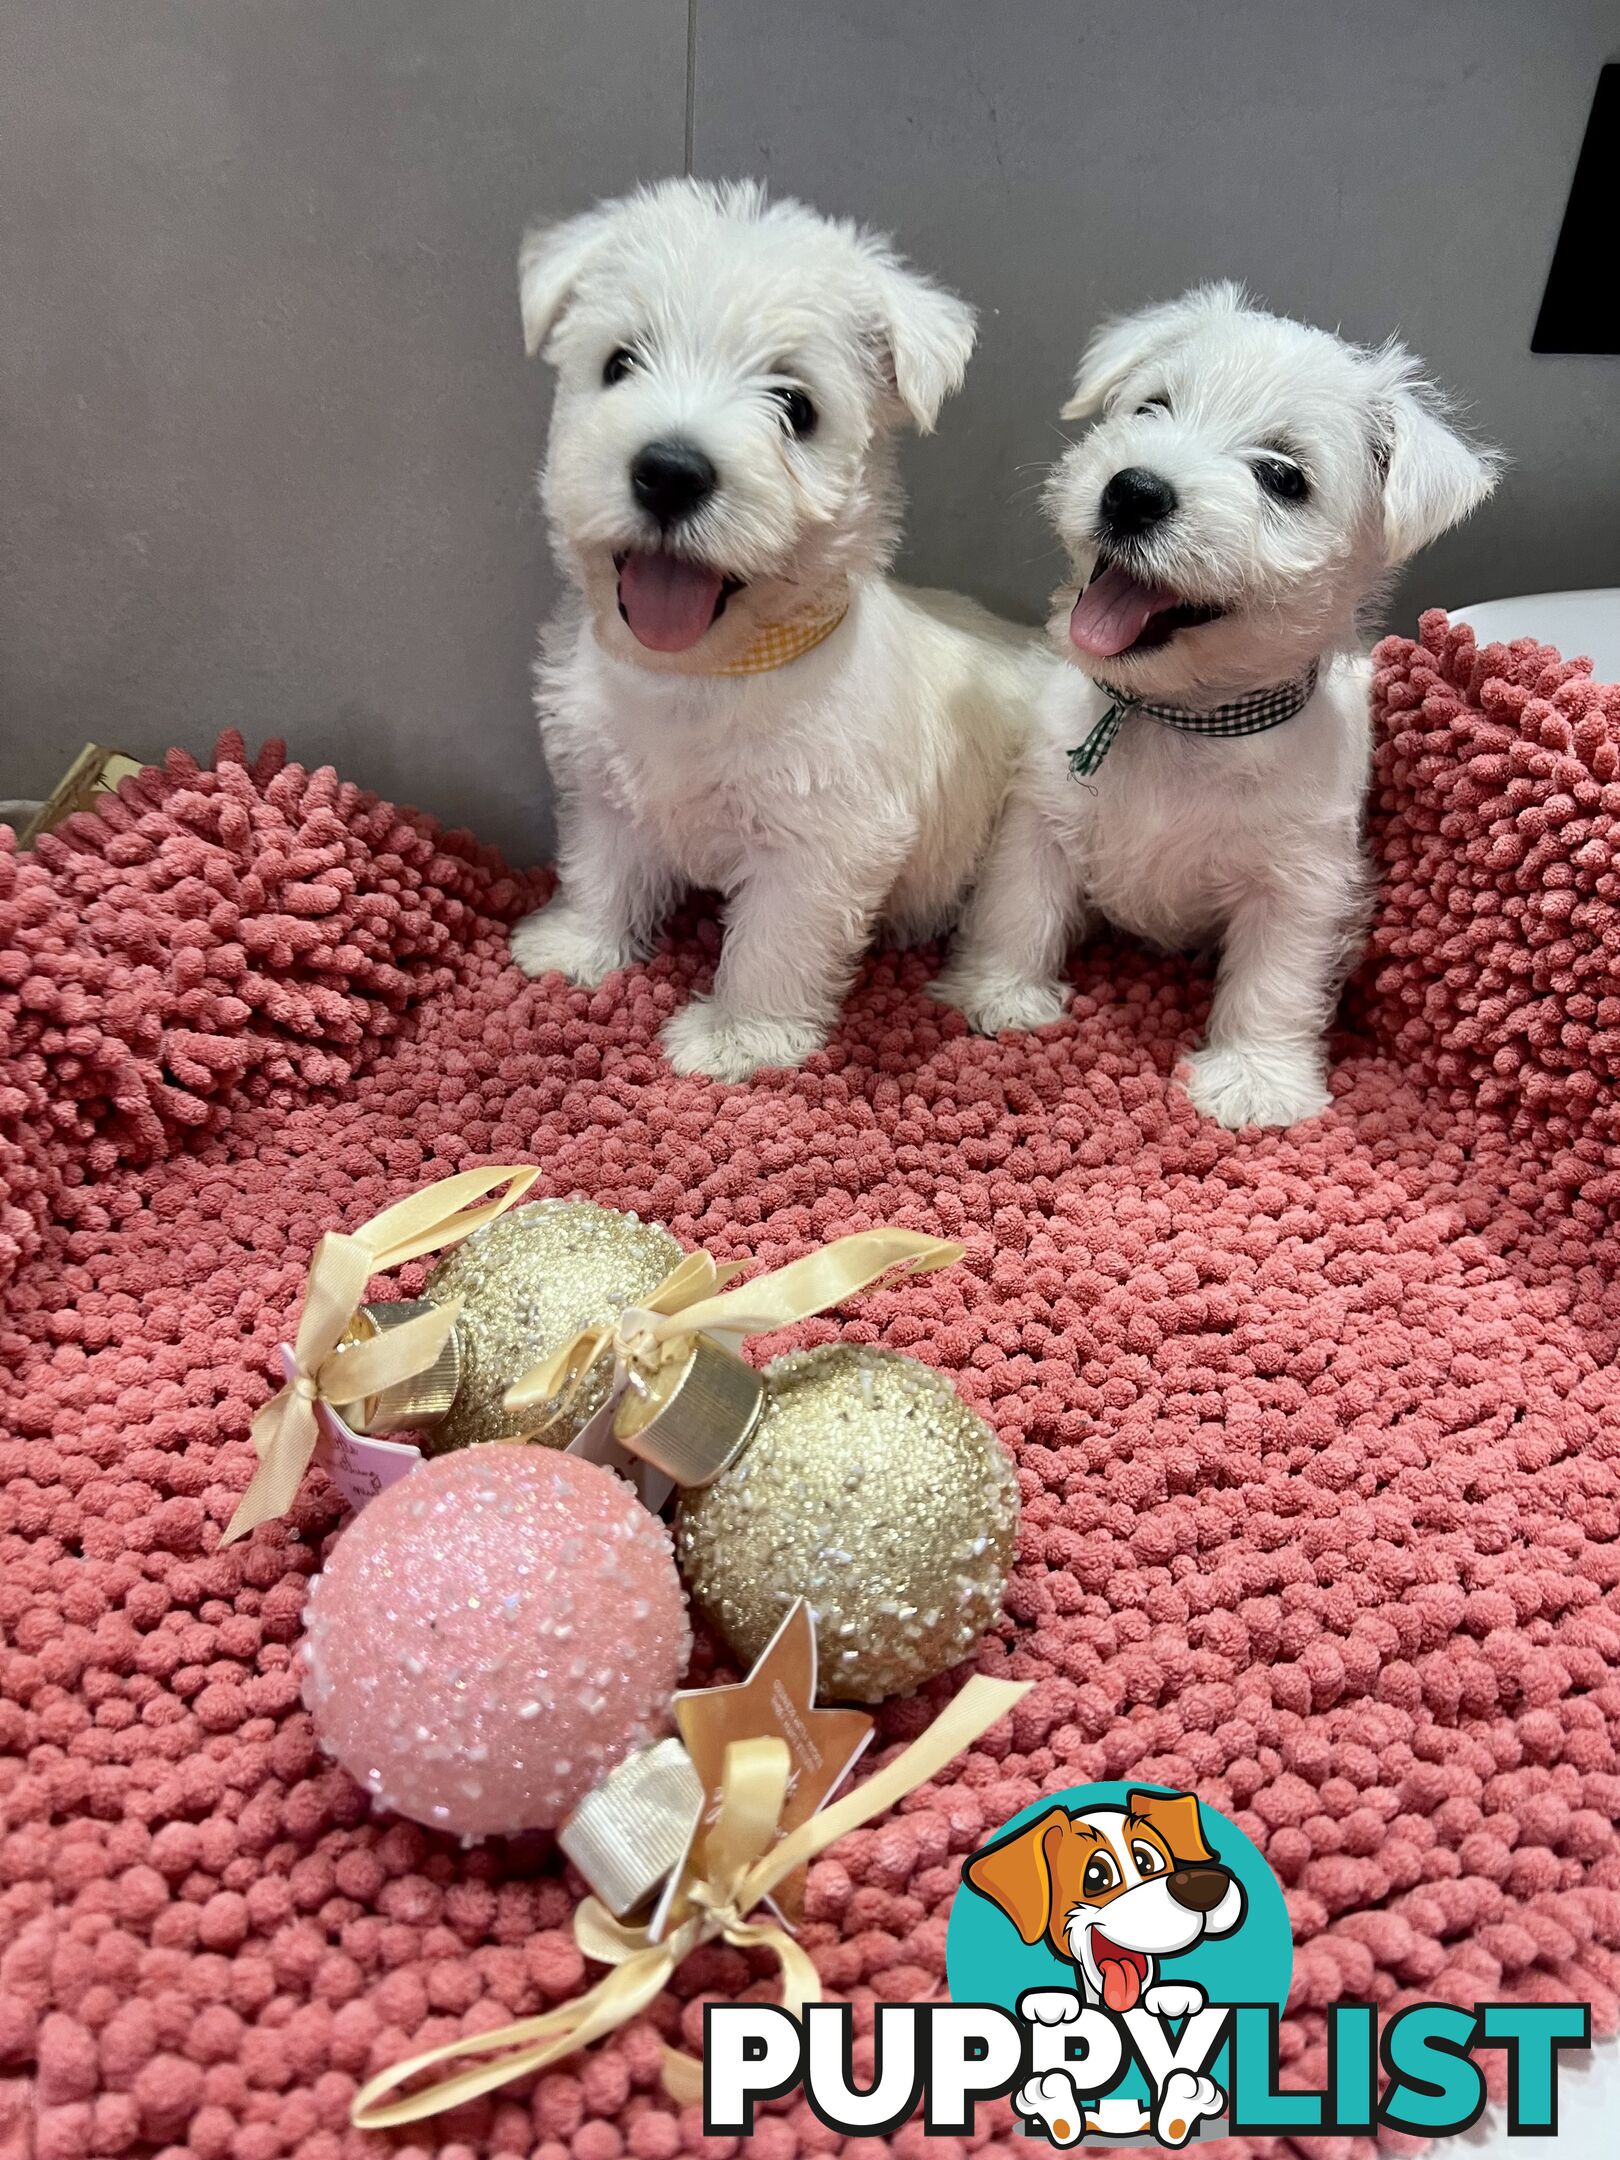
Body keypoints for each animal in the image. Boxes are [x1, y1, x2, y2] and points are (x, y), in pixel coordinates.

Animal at [509, 174, 1054, 1080]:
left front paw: (738, 1036)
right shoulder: (602, 785)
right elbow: (600, 870)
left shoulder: (820, 844)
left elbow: (773, 942)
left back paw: (998, 996)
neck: (706, 671)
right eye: (619, 362)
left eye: (796, 407)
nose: (669, 472)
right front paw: (573, 948)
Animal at [937, 285, 1512, 1131]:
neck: (1177, 716)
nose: (1133, 491)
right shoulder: (1040, 813)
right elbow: (1020, 905)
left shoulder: (1299, 881)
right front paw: (999, 996)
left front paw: (1255, 1082)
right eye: (1152, 406)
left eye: (1283, 477)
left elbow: (1275, 980)